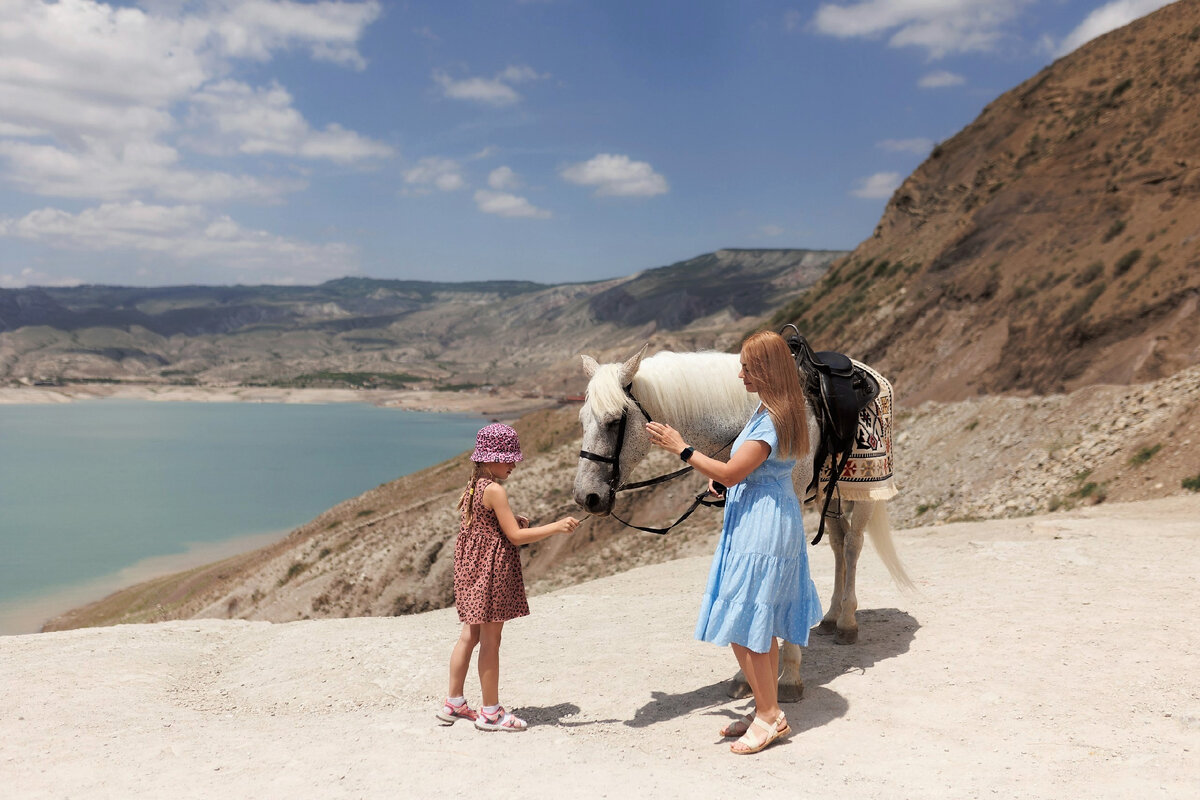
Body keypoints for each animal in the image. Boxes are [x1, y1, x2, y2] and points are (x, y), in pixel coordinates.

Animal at [576, 345, 912, 700]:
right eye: (583, 420)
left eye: (614, 421)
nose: (587, 497)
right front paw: (747, 673)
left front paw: (789, 676)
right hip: (829, 491)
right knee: (837, 543)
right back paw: (831, 617)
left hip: (866, 488)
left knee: (852, 545)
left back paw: (847, 622)